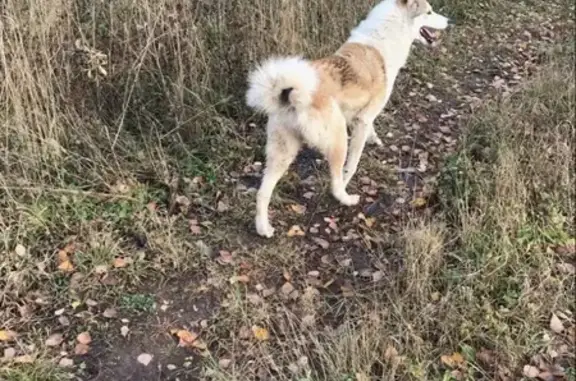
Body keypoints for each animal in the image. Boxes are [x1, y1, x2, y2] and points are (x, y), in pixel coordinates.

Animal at [245, 0, 452, 238]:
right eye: (429, 12)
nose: (449, 21)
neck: (388, 32)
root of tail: (293, 93)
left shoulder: (361, 118)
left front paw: (375, 139)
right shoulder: (362, 120)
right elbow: (352, 165)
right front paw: (347, 182)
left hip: (282, 153)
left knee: (262, 192)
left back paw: (263, 228)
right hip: (338, 140)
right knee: (334, 181)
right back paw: (345, 198)